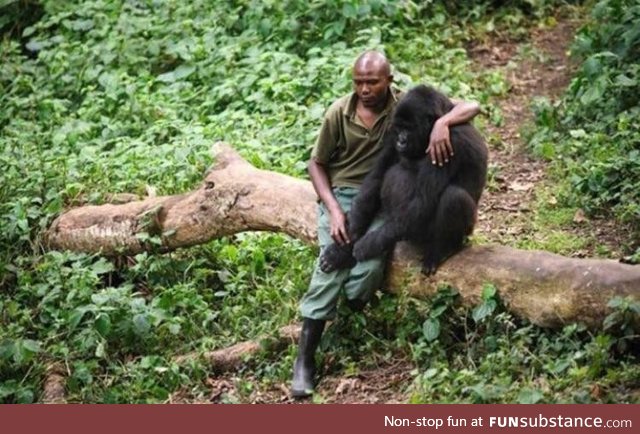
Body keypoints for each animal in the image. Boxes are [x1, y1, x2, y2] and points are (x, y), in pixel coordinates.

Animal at [320, 84, 490, 274]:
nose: (401, 141)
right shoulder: (391, 132)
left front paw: (368, 245)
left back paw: (444, 249)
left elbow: (423, 200)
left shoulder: (450, 140)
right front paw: (343, 248)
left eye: (409, 128)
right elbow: (376, 178)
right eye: (399, 128)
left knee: (454, 196)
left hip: (465, 231)